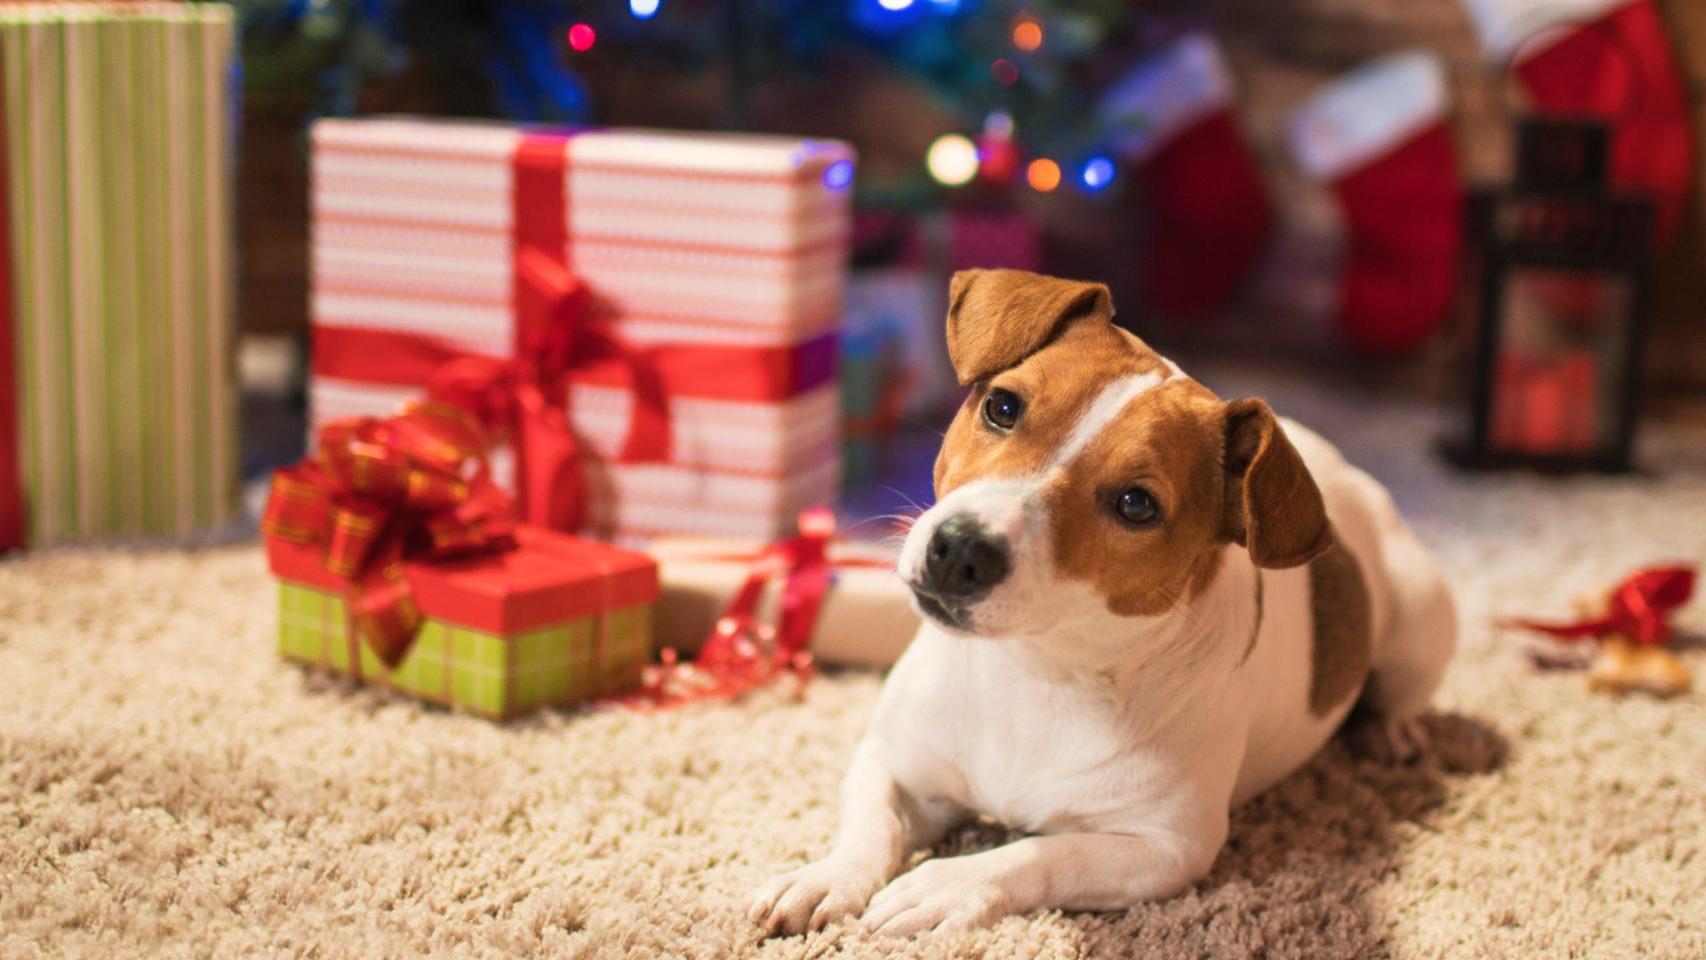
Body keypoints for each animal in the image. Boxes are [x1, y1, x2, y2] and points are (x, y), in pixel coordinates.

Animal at [747, 269, 1453, 941]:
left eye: (1136, 504)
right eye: (1003, 406)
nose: (959, 549)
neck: (1035, 670)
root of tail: (1338, 466)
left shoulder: (1165, 850)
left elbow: (1037, 855)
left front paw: (942, 886)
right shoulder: (894, 761)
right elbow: (871, 826)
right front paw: (826, 877)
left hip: (1422, 620)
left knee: (1402, 687)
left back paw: (1391, 728)